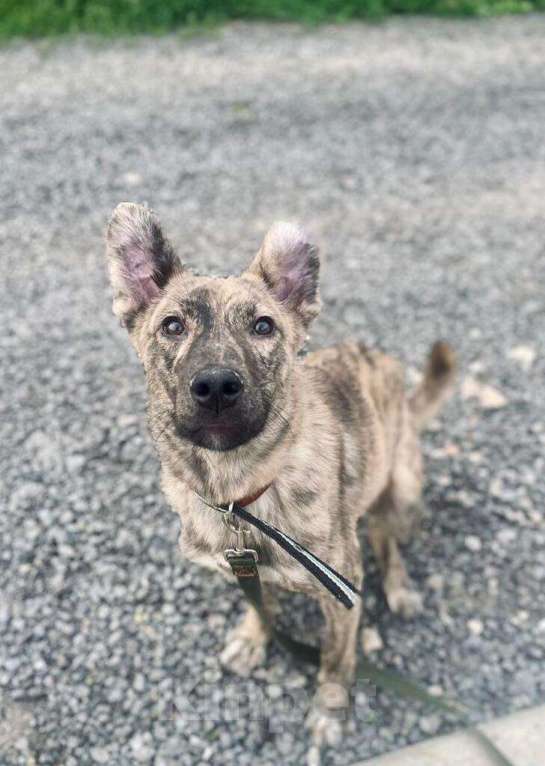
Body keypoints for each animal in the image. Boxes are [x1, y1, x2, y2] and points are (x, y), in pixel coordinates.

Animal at [105, 202, 454, 756]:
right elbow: (260, 605)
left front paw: (330, 708)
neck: (241, 494)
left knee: (387, 541)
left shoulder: (342, 598)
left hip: (401, 490)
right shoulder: (240, 568)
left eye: (264, 326)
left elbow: (335, 659)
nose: (216, 386)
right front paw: (253, 637)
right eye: (172, 325)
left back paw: (400, 587)